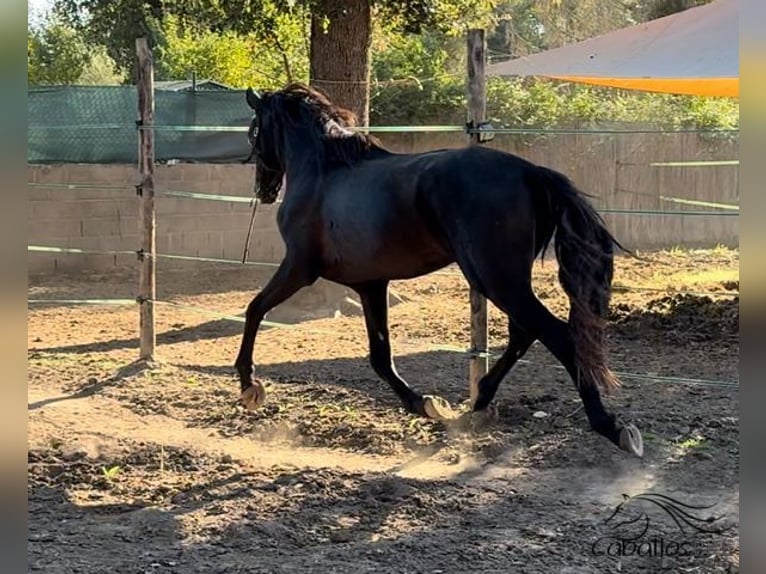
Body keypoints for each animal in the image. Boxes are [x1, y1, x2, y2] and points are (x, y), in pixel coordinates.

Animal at [237, 83, 644, 460]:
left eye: (254, 131)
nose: (263, 188)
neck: (324, 173)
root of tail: (532, 173)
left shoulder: (299, 267)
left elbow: (255, 309)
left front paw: (249, 385)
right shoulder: (371, 284)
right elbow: (380, 356)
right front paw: (426, 405)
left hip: (496, 278)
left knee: (555, 333)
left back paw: (611, 427)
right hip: (502, 279)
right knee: (524, 332)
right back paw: (475, 405)